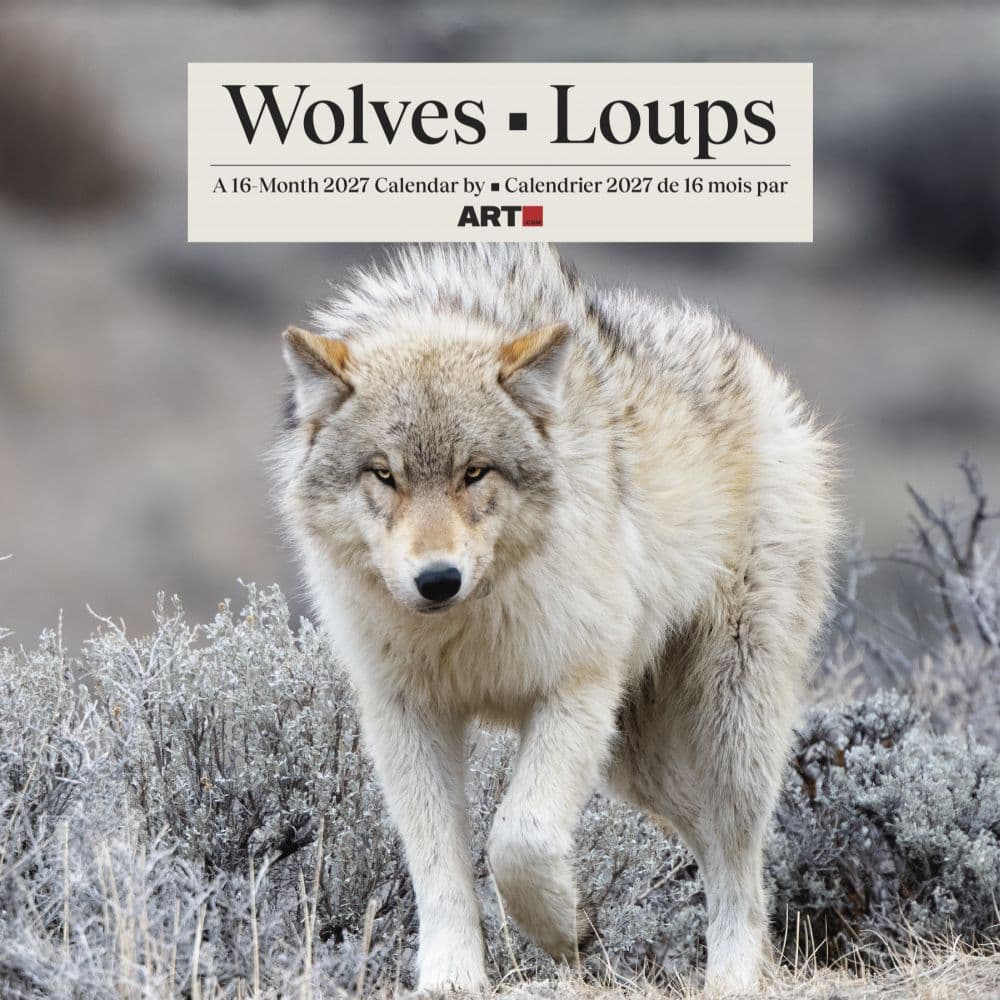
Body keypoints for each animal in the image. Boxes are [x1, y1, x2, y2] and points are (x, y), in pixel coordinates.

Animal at [274, 243, 839, 993]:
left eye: (475, 472)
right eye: (384, 474)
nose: (437, 580)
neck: (466, 628)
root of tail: (756, 365)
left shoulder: (577, 689)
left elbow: (520, 839)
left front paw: (559, 927)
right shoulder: (406, 714)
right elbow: (439, 869)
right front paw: (452, 978)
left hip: (728, 728)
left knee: (738, 858)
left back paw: (734, 979)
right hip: (637, 763)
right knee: (703, 838)